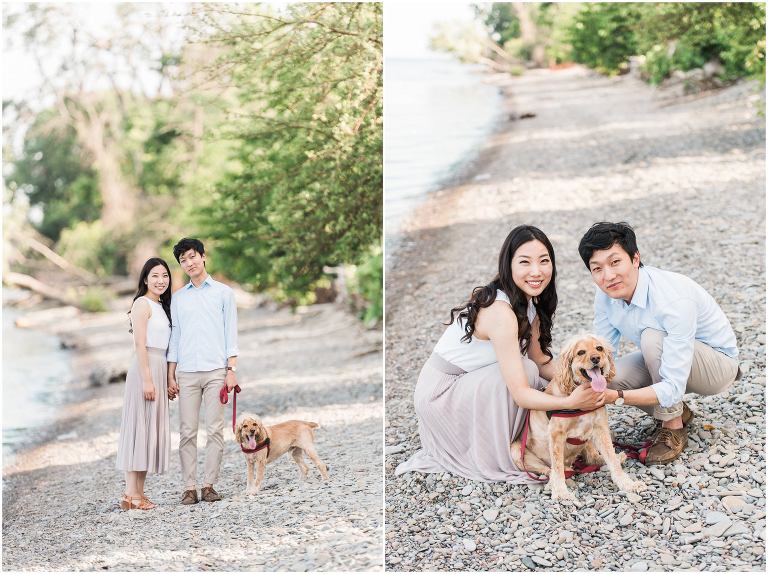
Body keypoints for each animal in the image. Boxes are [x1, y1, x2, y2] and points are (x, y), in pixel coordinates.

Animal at [512, 336, 644, 502]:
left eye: (599, 348)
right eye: (581, 352)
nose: (596, 358)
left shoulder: (601, 428)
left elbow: (611, 460)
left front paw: (628, 484)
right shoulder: (556, 434)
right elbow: (557, 468)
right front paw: (560, 492)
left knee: (593, 458)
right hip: (516, 452)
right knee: (549, 469)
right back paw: (554, 481)